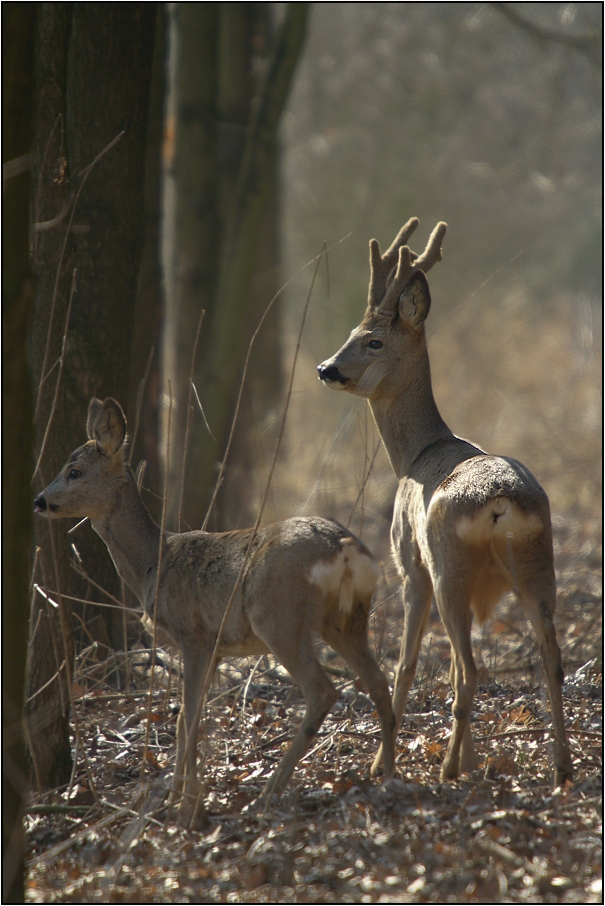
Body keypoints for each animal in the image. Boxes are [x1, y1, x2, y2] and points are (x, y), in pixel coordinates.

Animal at [318, 217, 572, 784]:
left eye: (372, 340)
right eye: (349, 335)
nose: (326, 368)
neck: (417, 454)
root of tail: (500, 501)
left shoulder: (409, 562)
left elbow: (407, 663)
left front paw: (383, 763)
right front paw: (471, 757)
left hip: (448, 564)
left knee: (470, 666)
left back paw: (448, 771)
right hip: (536, 561)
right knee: (549, 658)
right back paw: (560, 769)